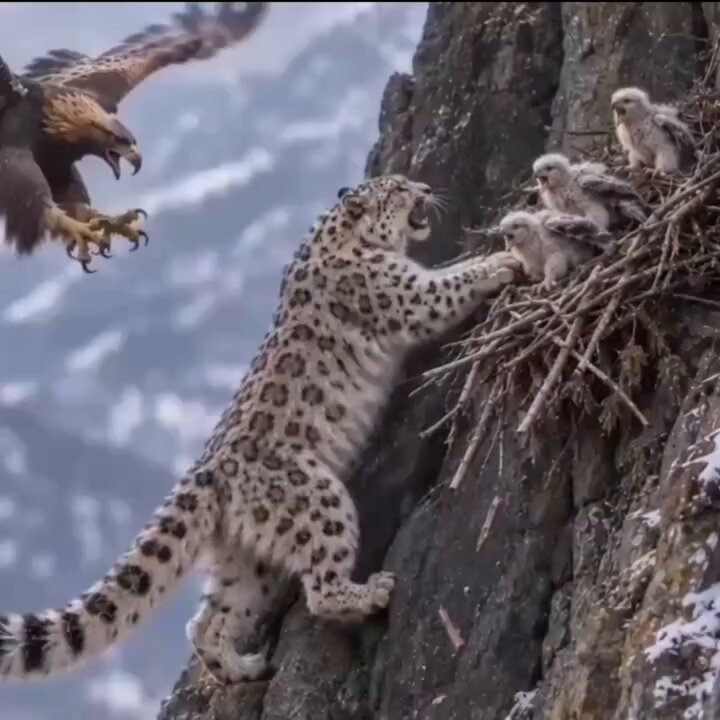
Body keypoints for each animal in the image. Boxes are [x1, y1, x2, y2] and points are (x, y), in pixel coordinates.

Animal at [0, 173, 521, 685]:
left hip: (247, 557)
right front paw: (501, 261)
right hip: (316, 499)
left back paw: (241, 667)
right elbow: (447, 285)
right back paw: (369, 593)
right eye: (395, 189)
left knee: (208, 620)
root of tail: (209, 473)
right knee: (319, 588)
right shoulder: (403, 294)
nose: (426, 189)